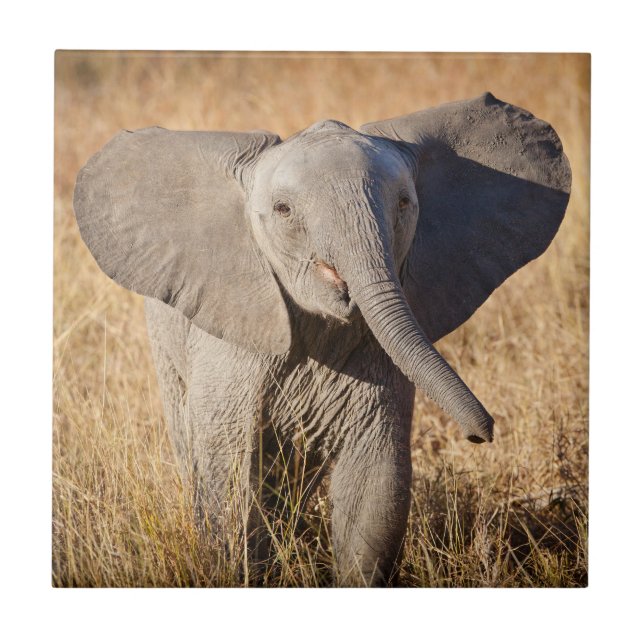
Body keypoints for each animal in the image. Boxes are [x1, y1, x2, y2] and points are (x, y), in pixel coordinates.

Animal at [73, 92, 571, 587]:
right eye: (283, 211)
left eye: (404, 203)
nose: (481, 433)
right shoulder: (230, 347)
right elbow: (230, 476)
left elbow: (374, 486)